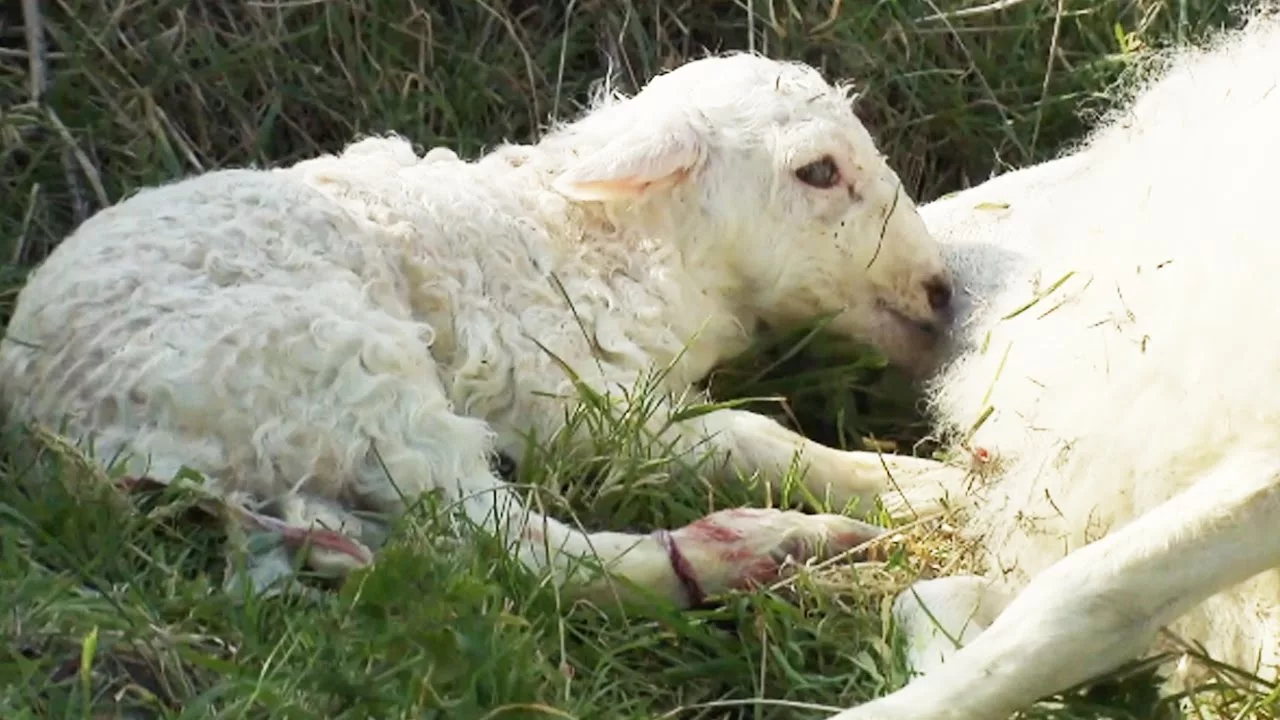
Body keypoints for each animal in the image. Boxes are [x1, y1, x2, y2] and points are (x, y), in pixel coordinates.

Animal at [0, 54, 962, 604]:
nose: (943, 291)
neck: (594, 238)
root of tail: (54, 418)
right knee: (501, 546)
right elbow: (747, 435)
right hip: (335, 368)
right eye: (818, 171)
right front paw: (912, 483)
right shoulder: (570, 396)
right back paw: (764, 550)